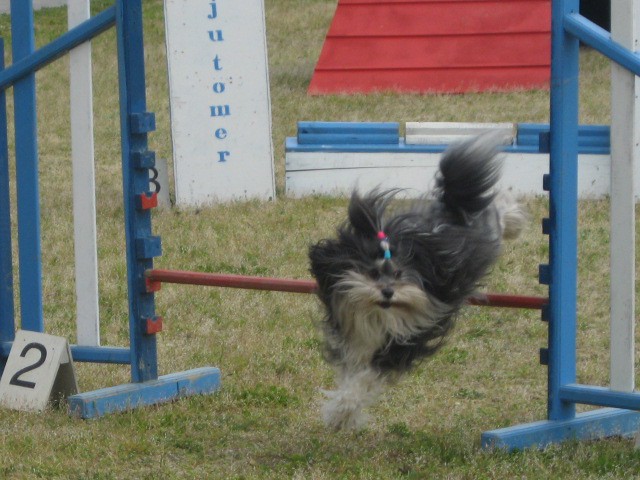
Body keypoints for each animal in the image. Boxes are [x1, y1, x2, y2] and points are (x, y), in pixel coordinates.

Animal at [310, 133, 524, 430]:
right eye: (373, 274)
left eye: (400, 274)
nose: (388, 292)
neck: (380, 316)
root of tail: (454, 207)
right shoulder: (353, 341)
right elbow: (352, 375)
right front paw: (342, 412)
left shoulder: (402, 343)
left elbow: (365, 379)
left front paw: (341, 412)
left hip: (490, 232)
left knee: (499, 209)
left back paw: (514, 222)